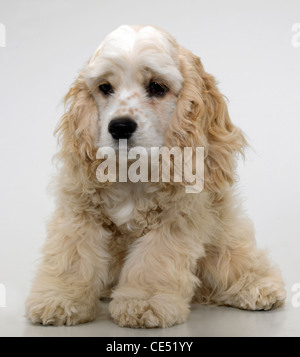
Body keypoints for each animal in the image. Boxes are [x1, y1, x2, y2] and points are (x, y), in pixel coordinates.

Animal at [25, 23, 286, 326]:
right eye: (105, 87)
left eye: (157, 87)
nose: (120, 127)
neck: (132, 171)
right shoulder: (80, 210)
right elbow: (71, 255)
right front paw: (58, 299)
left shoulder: (176, 218)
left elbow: (153, 261)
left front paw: (143, 303)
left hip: (223, 228)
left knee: (236, 256)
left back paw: (257, 287)